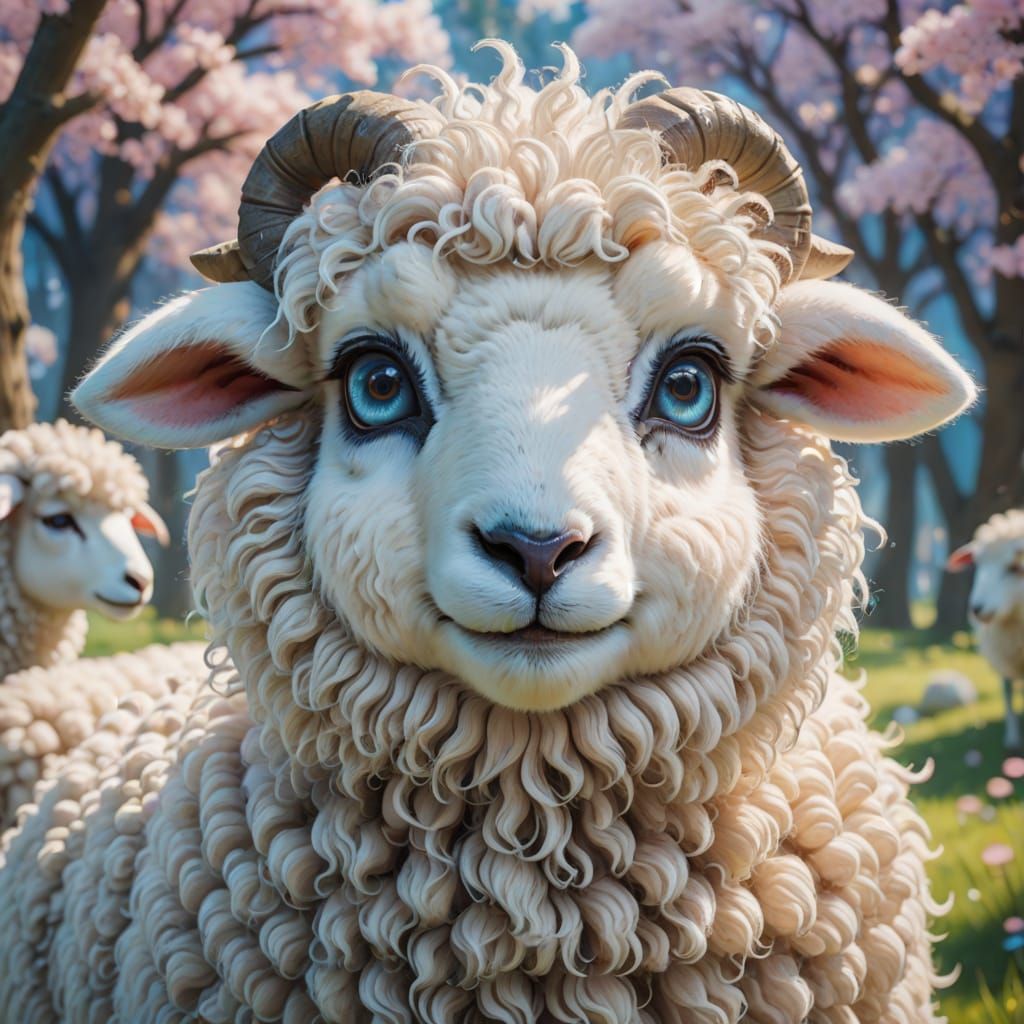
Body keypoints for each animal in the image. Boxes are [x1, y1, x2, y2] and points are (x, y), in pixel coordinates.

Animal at [947, 509, 1024, 749]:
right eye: (977, 565)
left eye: (1014, 567)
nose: (976, 608)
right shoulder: (1001, 653)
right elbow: (1007, 690)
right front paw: (1012, 738)